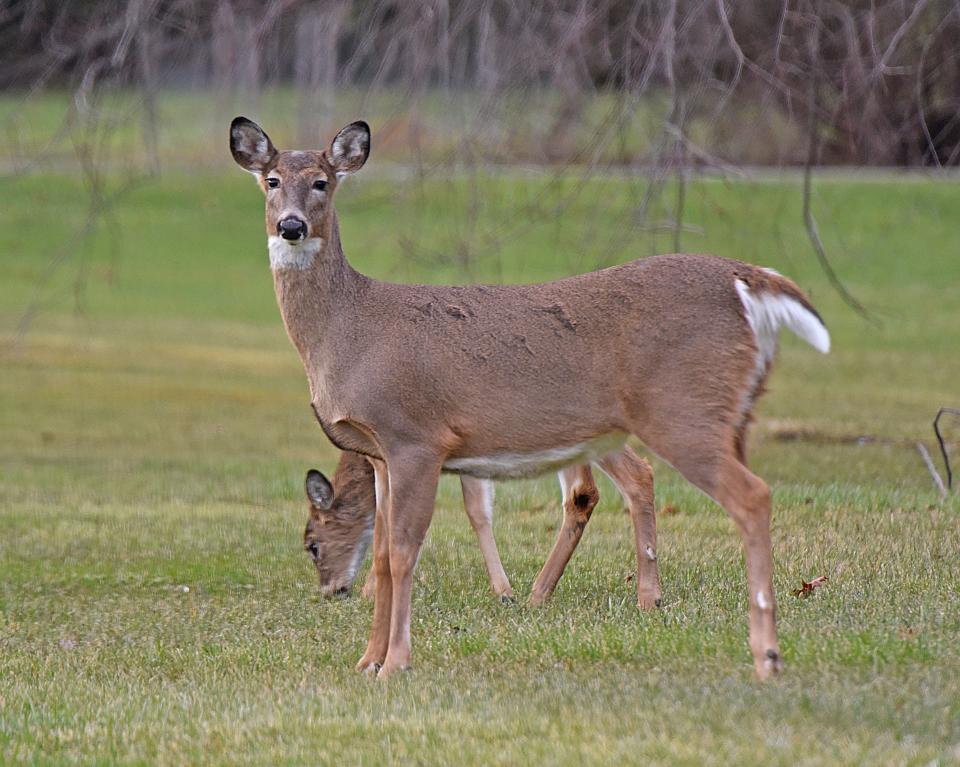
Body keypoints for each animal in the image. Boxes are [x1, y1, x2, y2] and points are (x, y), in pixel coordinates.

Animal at [302, 448, 660, 608]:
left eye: (312, 545)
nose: (330, 590)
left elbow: (474, 510)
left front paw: (504, 591)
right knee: (584, 493)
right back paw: (541, 591)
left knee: (629, 475)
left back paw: (649, 597)